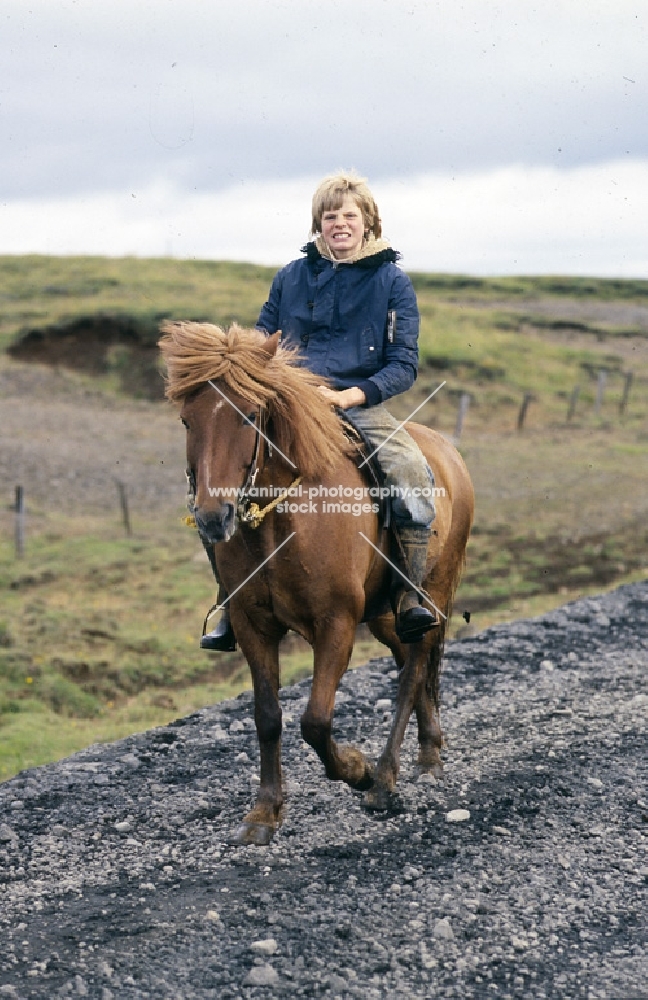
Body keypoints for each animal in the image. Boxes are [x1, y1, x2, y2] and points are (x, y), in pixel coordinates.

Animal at [159, 322, 474, 844]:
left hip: (432, 593)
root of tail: (449, 453)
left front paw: (358, 770)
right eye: (187, 421)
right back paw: (429, 751)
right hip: (385, 613)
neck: (282, 524)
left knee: (412, 672)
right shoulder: (253, 626)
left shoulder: (336, 624)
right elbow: (268, 718)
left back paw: (385, 780)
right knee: (409, 660)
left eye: (249, 416)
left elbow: (315, 720)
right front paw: (264, 812)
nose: (212, 517)